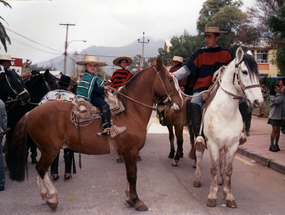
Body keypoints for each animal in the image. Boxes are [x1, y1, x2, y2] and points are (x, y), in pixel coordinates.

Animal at [8, 58, 184, 212]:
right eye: (170, 79)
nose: (181, 102)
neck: (130, 111)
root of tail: (30, 113)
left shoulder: (129, 153)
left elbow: (129, 176)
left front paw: (129, 198)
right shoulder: (131, 151)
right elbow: (133, 176)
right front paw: (136, 201)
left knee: (41, 170)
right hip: (50, 150)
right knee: (41, 168)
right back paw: (52, 198)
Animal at [193, 47, 262, 208]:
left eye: (258, 73)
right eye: (244, 72)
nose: (259, 101)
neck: (225, 113)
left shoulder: (232, 145)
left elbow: (228, 170)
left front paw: (228, 195)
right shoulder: (212, 143)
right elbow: (213, 169)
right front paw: (212, 196)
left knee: (222, 163)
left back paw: (221, 181)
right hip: (201, 140)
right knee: (199, 155)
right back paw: (197, 179)